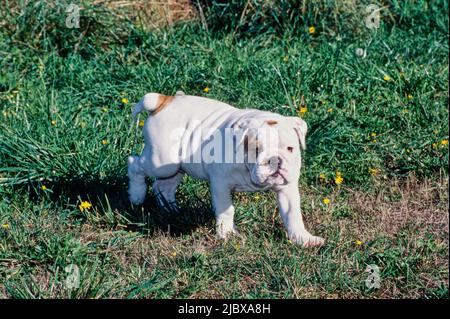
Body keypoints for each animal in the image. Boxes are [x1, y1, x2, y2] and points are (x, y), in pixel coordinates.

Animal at [128, 92, 326, 248]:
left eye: (290, 149)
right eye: (256, 150)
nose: (275, 159)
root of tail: (163, 100)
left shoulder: (287, 188)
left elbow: (293, 214)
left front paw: (303, 238)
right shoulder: (221, 184)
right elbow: (226, 209)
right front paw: (228, 235)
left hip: (176, 167)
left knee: (163, 187)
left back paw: (171, 210)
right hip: (162, 161)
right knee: (134, 164)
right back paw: (136, 195)